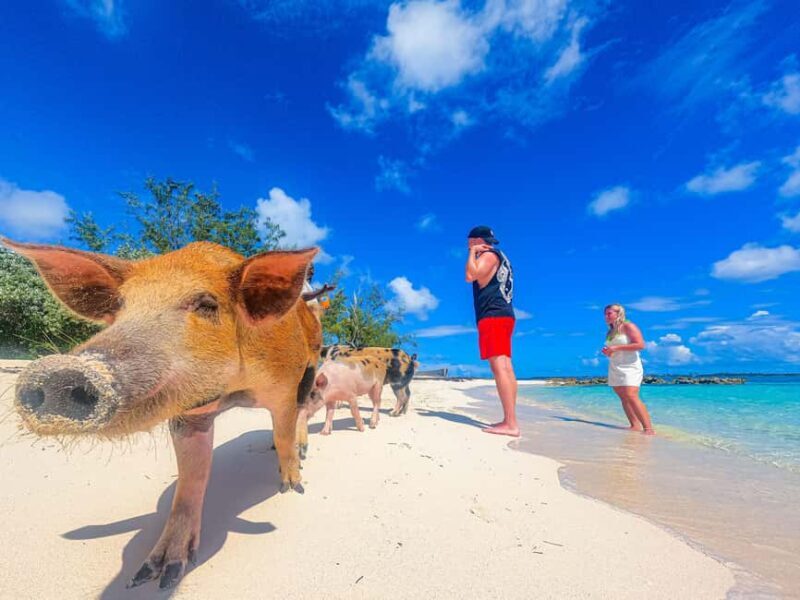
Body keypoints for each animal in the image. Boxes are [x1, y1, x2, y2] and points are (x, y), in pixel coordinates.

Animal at [2, 238, 322, 590]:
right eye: (121, 306)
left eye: (207, 304)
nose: (60, 372)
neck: (233, 390)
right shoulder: (188, 415)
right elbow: (191, 479)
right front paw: (154, 577)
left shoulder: (285, 385)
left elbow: (284, 430)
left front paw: (293, 486)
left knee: (303, 410)